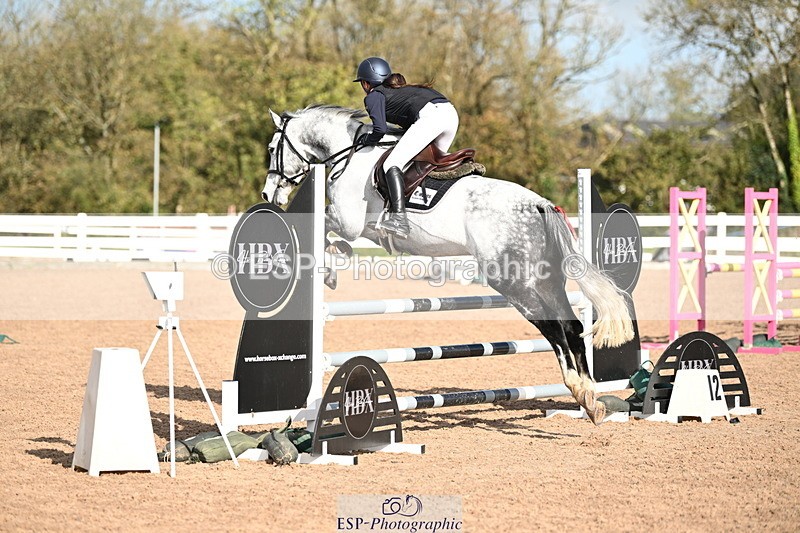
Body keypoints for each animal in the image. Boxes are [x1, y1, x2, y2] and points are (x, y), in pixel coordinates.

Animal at [260, 104, 634, 424]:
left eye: (272, 147)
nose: (268, 195)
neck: (348, 154)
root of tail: (539, 204)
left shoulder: (350, 221)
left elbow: (329, 227)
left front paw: (333, 265)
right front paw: (336, 260)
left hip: (512, 282)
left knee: (554, 327)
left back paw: (577, 388)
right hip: (546, 281)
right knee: (571, 326)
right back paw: (589, 398)